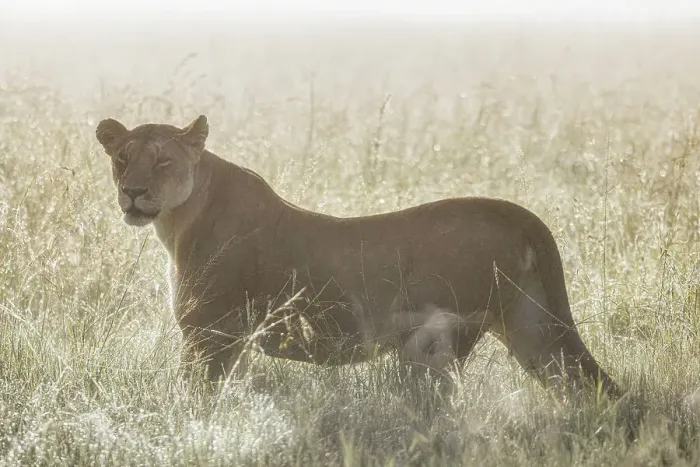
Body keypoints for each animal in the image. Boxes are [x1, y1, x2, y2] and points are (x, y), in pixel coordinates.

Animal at [95, 114, 621, 398]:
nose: (133, 192)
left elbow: (194, 396)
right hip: (532, 326)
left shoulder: (210, 333)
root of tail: (514, 211)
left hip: (438, 338)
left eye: (164, 161)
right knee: (589, 388)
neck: (179, 219)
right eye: (122, 158)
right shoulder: (233, 339)